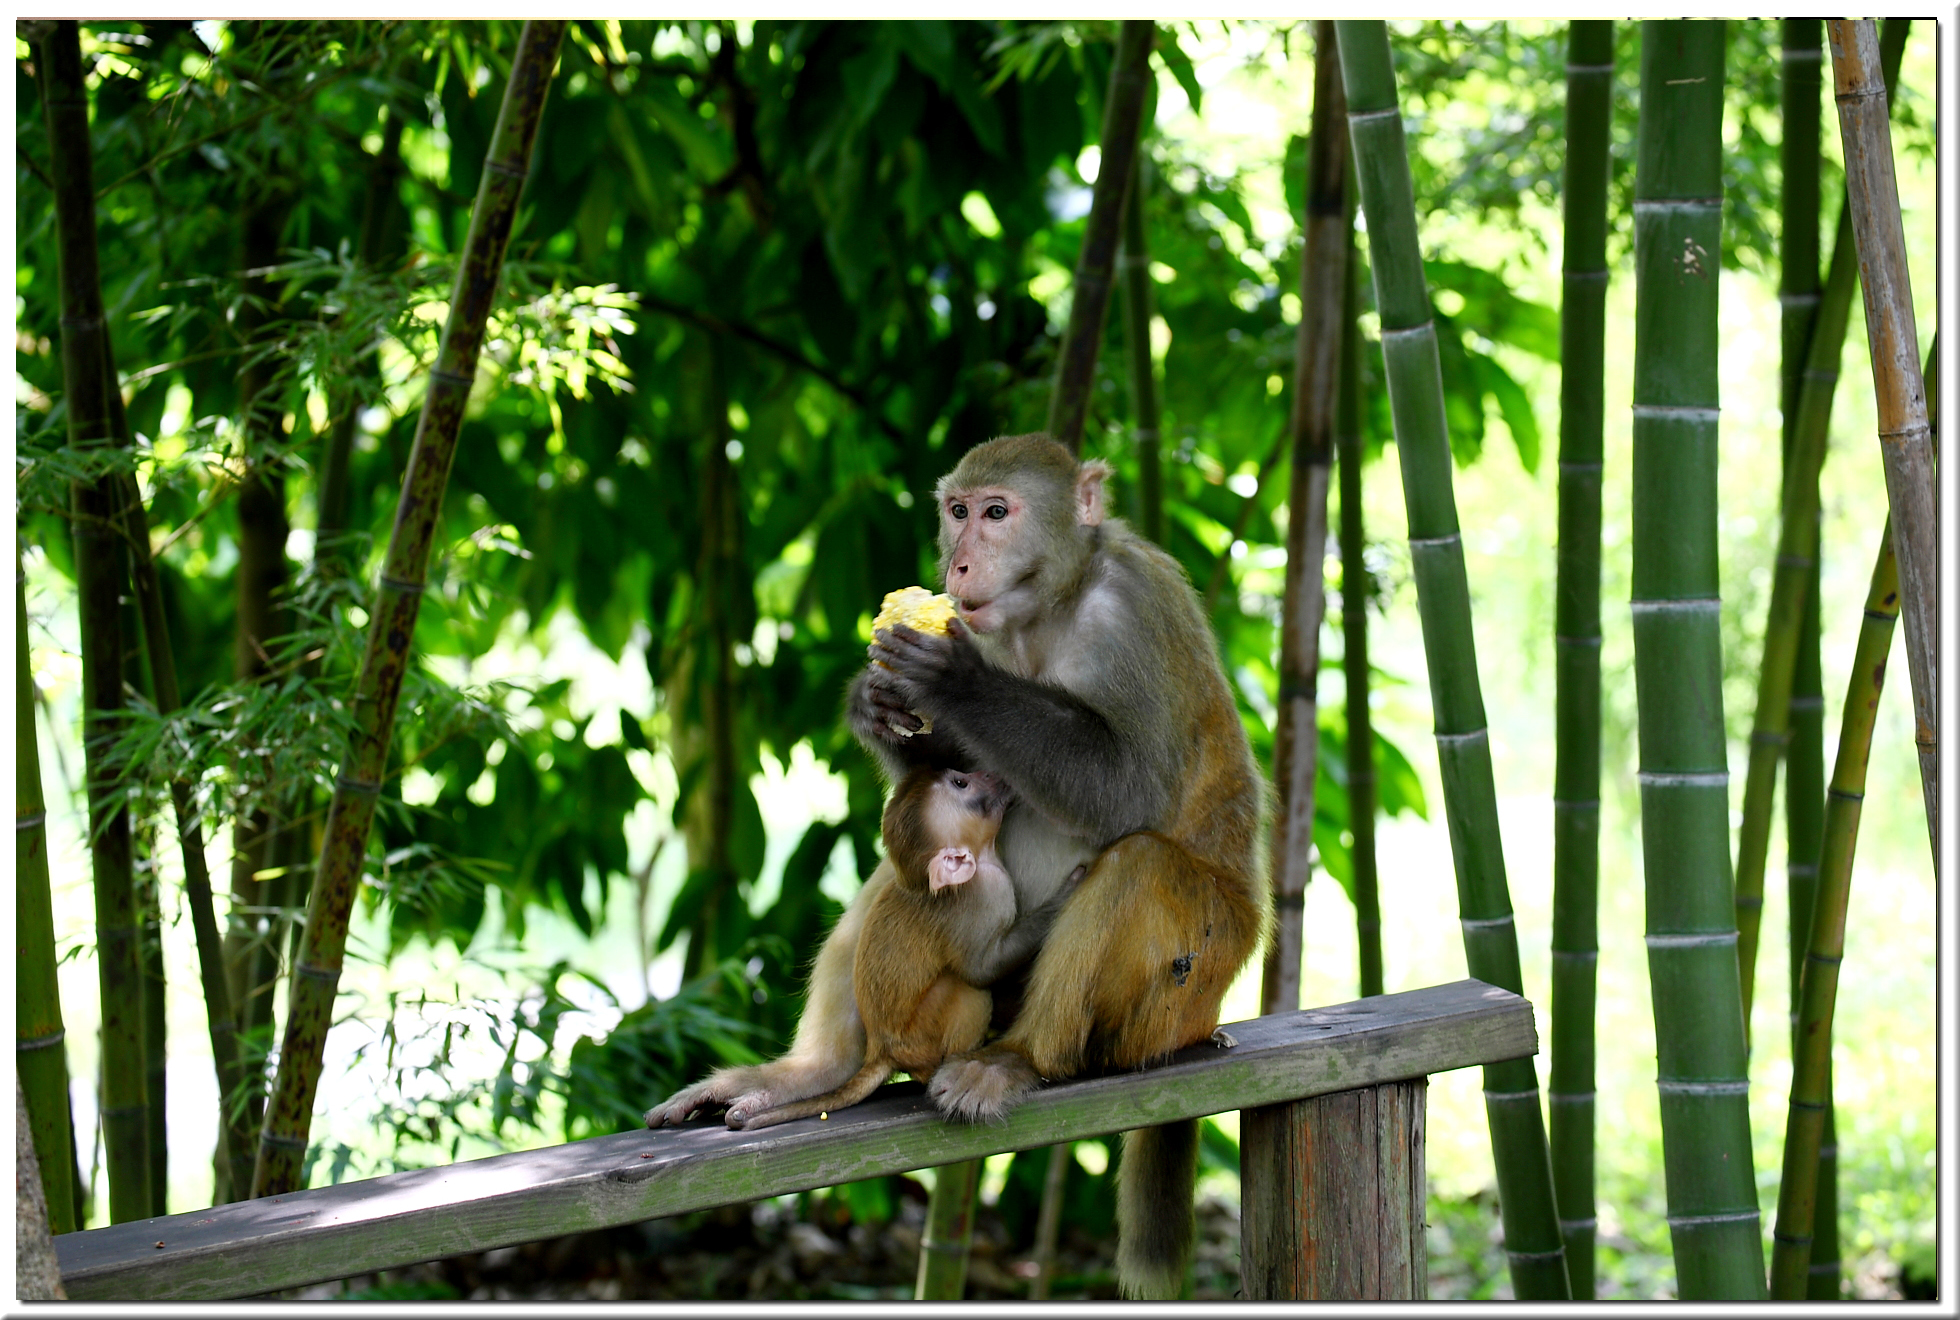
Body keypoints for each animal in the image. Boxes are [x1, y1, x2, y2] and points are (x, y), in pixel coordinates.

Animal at [729, 768, 1042, 1129]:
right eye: (961, 784)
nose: (984, 773)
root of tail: (881, 1049)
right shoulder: (988, 893)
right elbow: (981, 968)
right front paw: (1060, 899)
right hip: (921, 1037)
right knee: (966, 988)